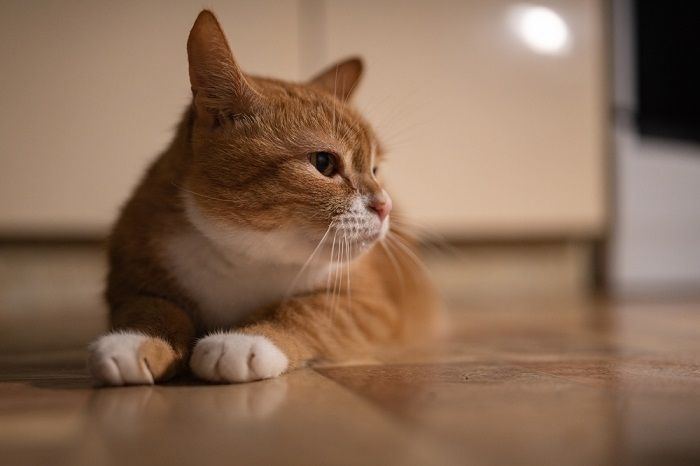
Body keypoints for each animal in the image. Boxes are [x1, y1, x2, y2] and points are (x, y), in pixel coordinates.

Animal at [86, 10, 438, 386]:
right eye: (324, 163)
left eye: (374, 168)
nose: (384, 206)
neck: (244, 256)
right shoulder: (131, 278)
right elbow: (152, 307)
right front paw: (133, 341)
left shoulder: (368, 306)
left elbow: (303, 312)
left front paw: (245, 340)